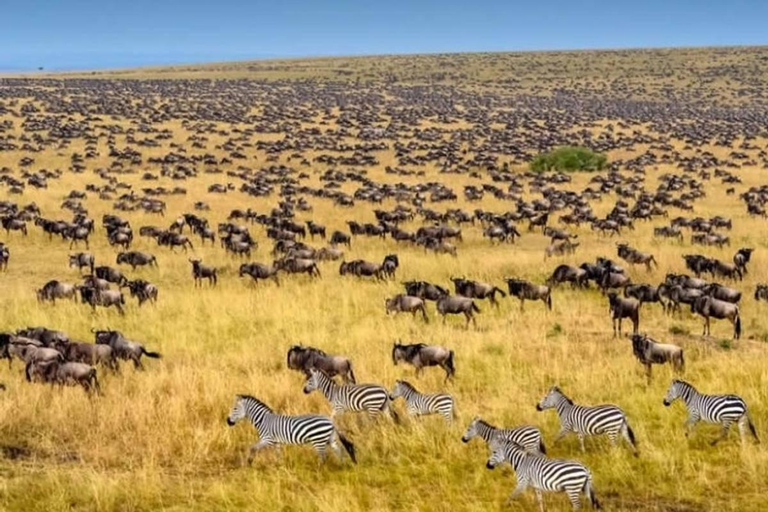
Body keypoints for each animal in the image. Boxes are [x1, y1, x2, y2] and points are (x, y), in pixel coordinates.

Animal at [225, 396, 356, 464]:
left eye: (235, 408)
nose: (228, 421)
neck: (263, 420)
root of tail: (330, 421)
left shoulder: (267, 439)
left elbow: (252, 448)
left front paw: (249, 461)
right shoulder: (276, 442)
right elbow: (278, 454)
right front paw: (279, 466)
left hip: (318, 440)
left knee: (323, 456)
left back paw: (320, 469)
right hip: (330, 438)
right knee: (339, 450)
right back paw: (341, 466)